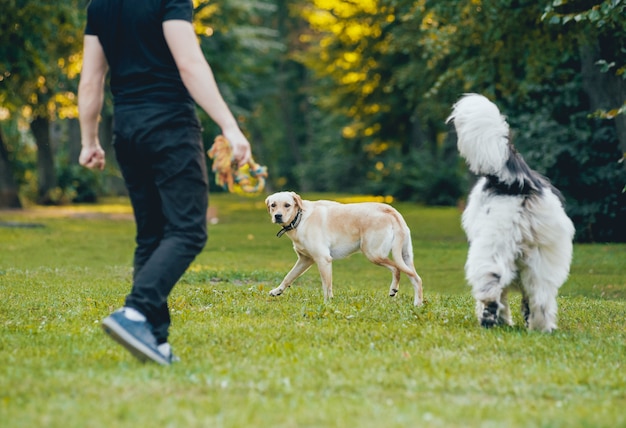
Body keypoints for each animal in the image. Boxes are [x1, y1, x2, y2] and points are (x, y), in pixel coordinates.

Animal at [260, 192, 422, 306]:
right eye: (273, 205)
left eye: (287, 205)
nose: (278, 216)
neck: (300, 218)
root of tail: (390, 210)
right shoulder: (305, 260)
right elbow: (289, 277)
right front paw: (277, 291)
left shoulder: (323, 260)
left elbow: (326, 286)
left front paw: (327, 304)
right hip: (405, 257)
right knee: (416, 278)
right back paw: (417, 304)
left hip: (373, 253)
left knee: (396, 269)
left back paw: (396, 291)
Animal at [446, 94, 572, 334]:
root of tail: (522, 181)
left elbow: (502, 296)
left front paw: (502, 320)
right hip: (543, 260)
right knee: (541, 298)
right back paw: (542, 328)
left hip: (492, 247)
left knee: (491, 287)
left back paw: (487, 321)